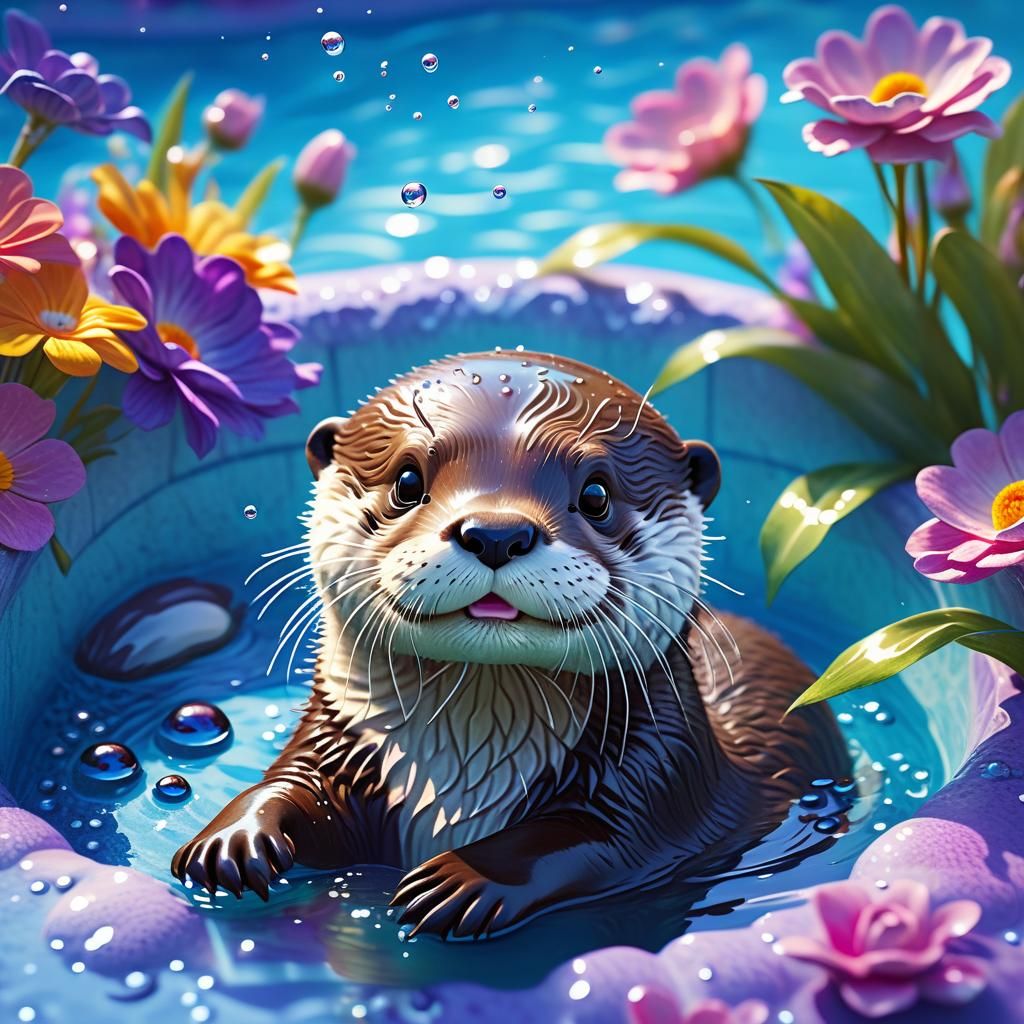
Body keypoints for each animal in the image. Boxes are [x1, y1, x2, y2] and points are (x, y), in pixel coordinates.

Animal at [172, 350, 847, 938]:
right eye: (407, 479)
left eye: (597, 494)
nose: (496, 532)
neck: (465, 766)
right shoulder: (340, 744)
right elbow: (298, 786)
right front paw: (234, 836)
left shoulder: (660, 779)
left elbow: (584, 838)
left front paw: (464, 878)